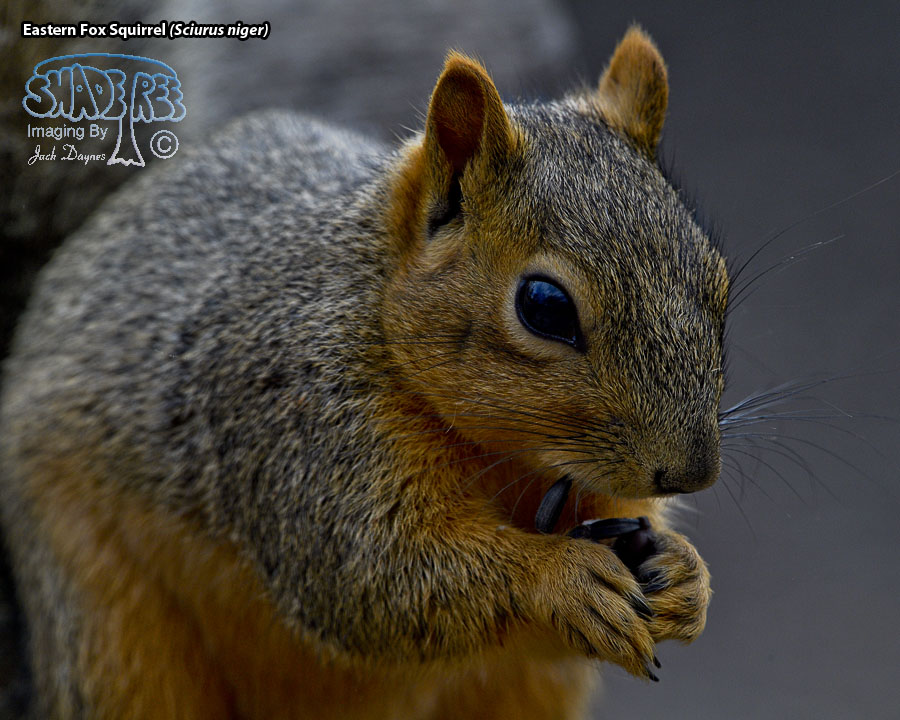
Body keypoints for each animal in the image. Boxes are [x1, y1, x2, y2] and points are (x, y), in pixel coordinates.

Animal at [0, 27, 726, 719]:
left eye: (715, 276)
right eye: (544, 306)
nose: (691, 473)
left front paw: (687, 576)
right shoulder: (298, 421)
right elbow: (371, 575)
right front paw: (560, 577)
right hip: (107, 617)